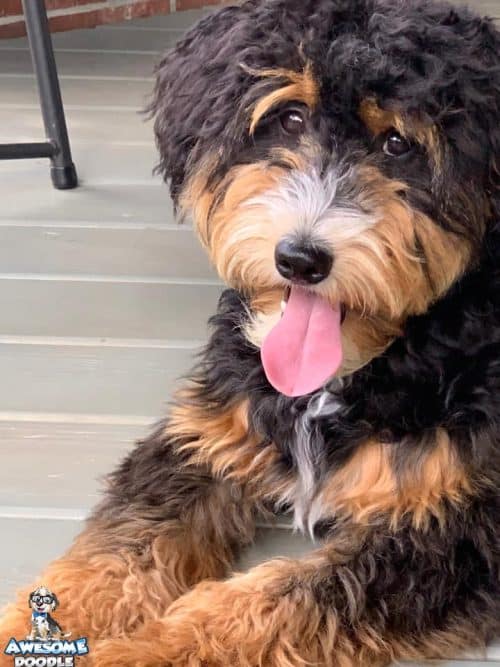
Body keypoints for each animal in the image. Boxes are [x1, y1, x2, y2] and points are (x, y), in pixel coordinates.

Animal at [0, 0, 500, 664]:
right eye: (288, 117)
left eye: (398, 143)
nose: (301, 259)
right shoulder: (207, 433)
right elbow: (116, 550)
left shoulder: (460, 528)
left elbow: (277, 598)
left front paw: (141, 651)